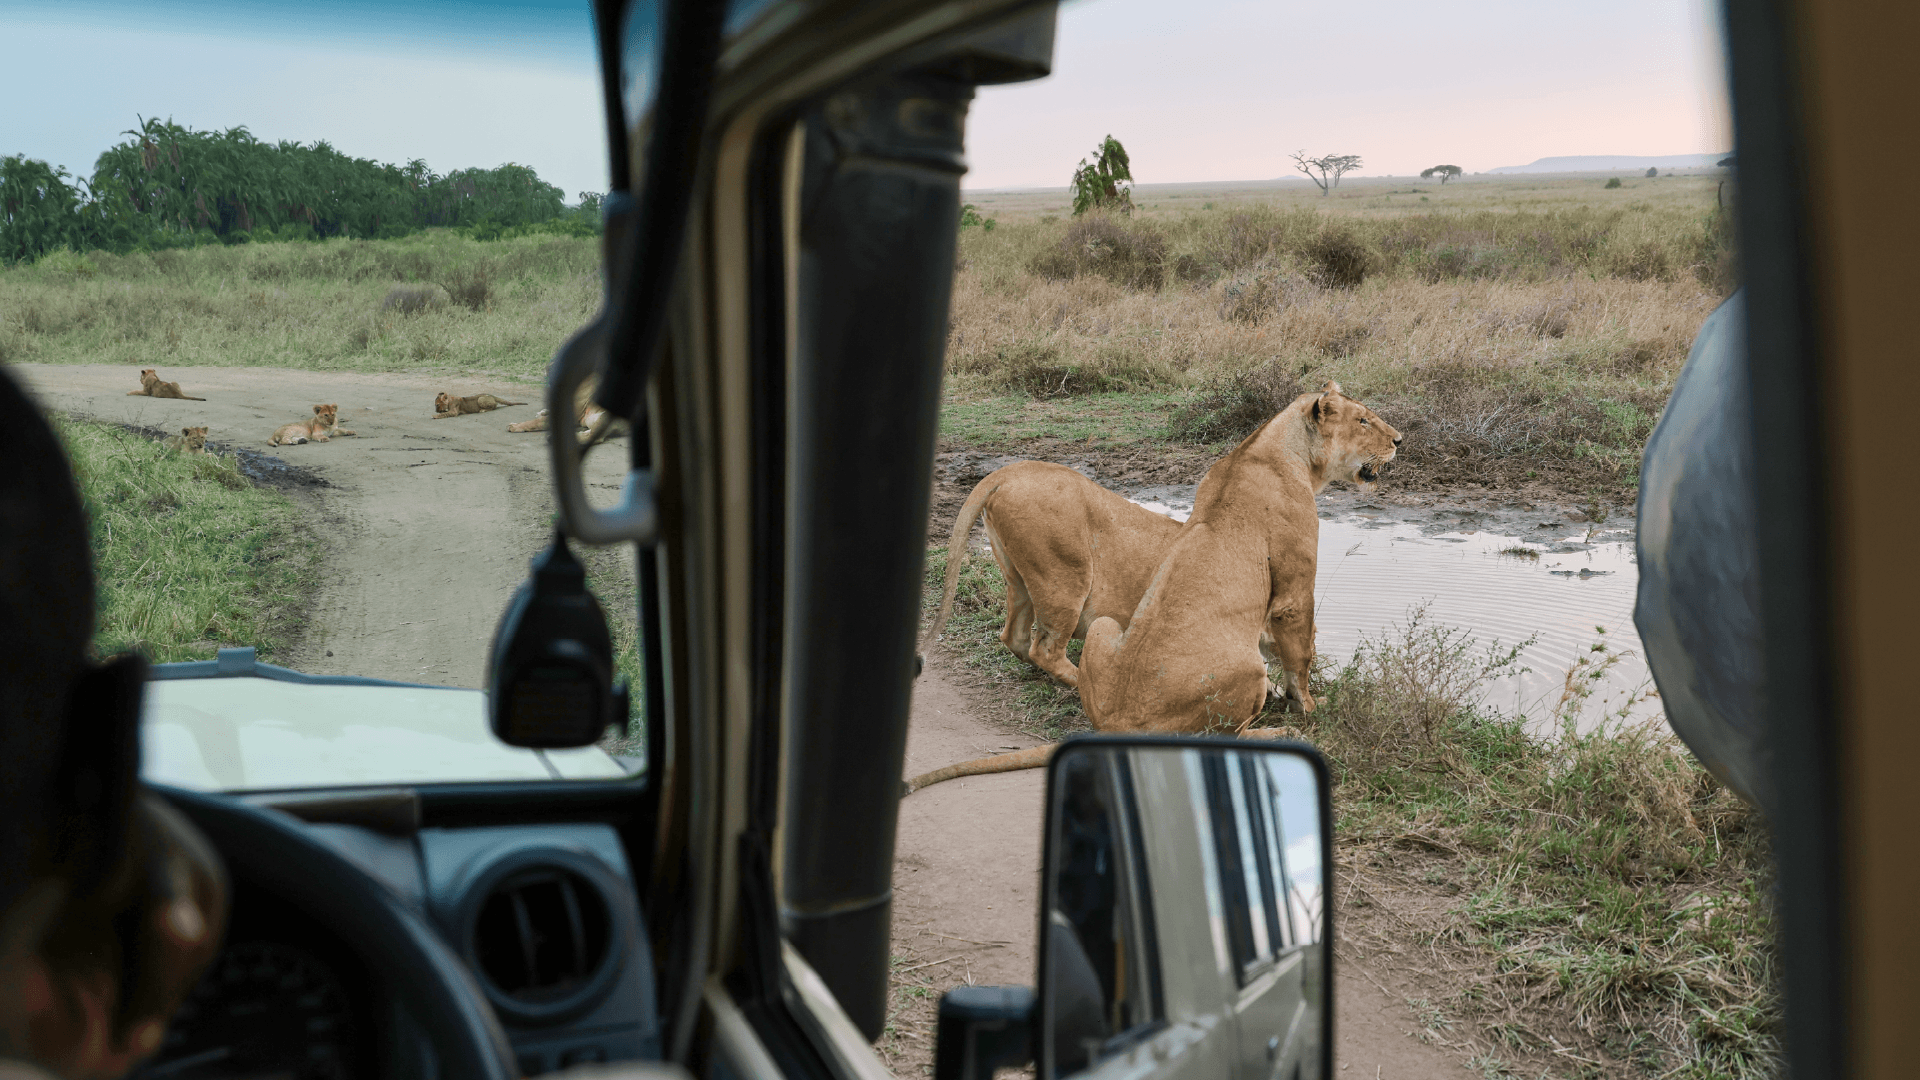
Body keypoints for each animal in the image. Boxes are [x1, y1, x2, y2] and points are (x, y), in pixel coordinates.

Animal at [906, 382, 1401, 794]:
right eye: (1363, 420)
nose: (1398, 440)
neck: (1268, 448)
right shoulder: (1293, 592)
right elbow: (1301, 656)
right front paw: (1311, 708)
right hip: (1073, 582)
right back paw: (1277, 733)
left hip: (1065, 603)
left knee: (1015, 635)